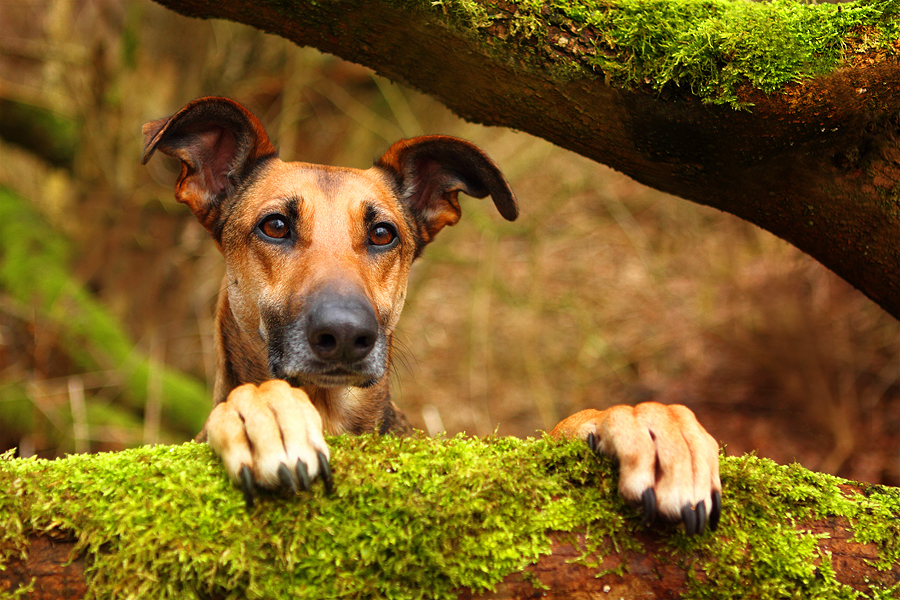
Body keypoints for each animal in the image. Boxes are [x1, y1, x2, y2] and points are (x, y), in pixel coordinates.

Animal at [141, 97, 720, 536]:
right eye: (275, 226)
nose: (347, 335)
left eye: (382, 233)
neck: (330, 410)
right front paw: (264, 411)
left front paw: (646, 424)